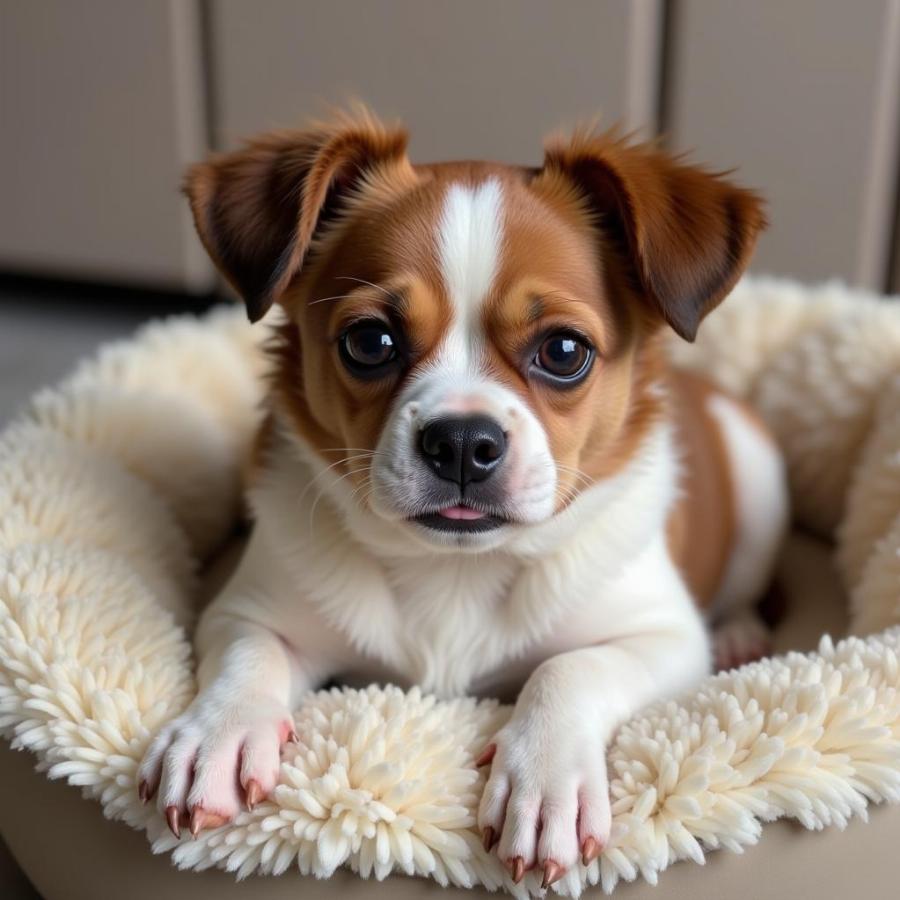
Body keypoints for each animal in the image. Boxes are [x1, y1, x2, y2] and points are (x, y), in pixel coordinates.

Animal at [137, 110, 784, 884]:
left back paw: (742, 629)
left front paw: (547, 777)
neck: (454, 568)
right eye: (370, 341)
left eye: (564, 352)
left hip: (758, 482)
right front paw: (219, 733)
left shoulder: (664, 638)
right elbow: (248, 657)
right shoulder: (251, 611)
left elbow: (570, 668)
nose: (464, 441)